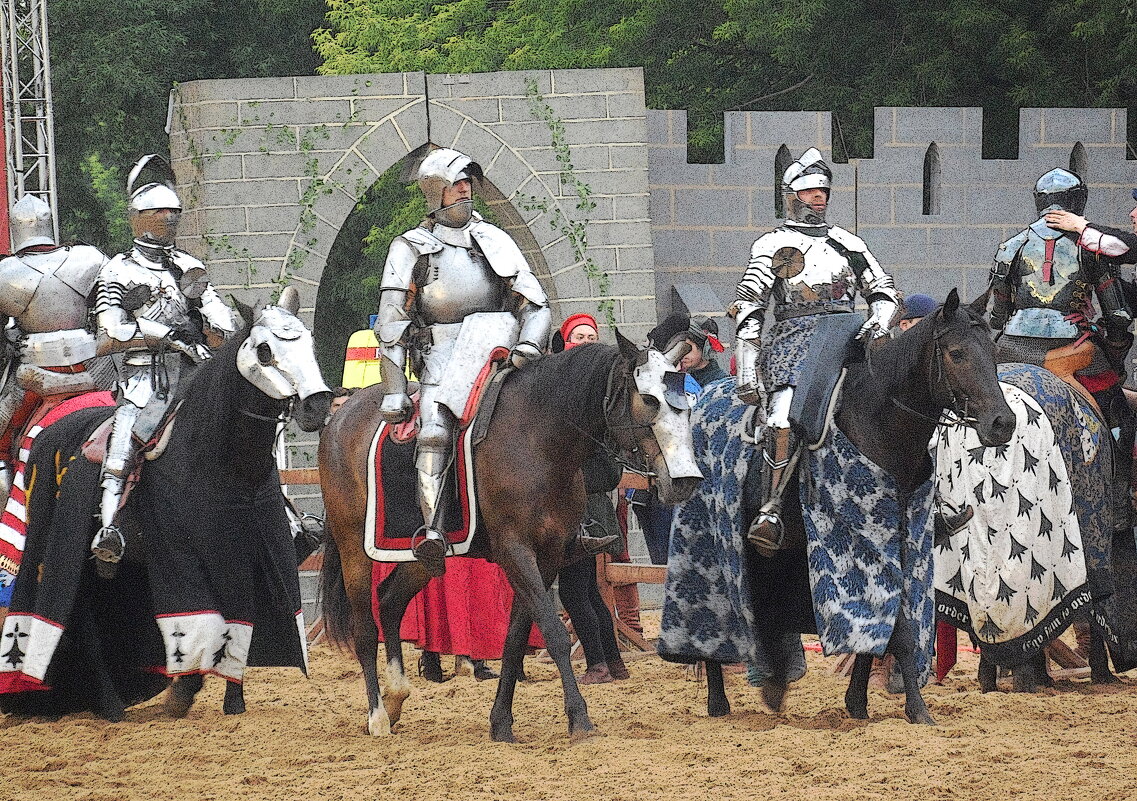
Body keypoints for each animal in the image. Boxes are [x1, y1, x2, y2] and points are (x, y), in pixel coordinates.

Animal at [0, 291, 329, 723]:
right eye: (264, 350)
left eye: (310, 344)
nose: (318, 406)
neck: (217, 461)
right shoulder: (184, 555)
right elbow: (201, 620)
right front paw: (183, 693)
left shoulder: (252, 555)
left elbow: (242, 620)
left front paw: (233, 701)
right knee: (83, 621)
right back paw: (110, 706)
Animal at [320, 329, 704, 737]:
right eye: (648, 399)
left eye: (687, 404)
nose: (684, 480)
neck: (539, 438)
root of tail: (339, 417)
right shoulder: (516, 551)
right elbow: (552, 630)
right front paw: (578, 717)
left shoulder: (547, 555)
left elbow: (517, 635)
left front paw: (501, 721)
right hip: (353, 546)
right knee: (364, 627)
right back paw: (377, 715)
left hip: (422, 555)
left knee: (391, 602)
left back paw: (396, 696)